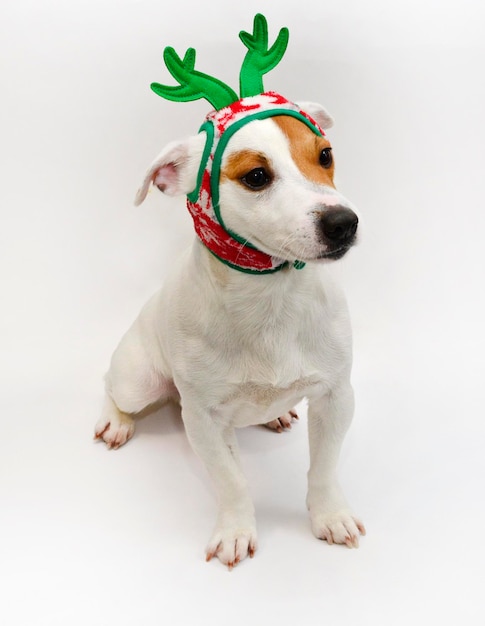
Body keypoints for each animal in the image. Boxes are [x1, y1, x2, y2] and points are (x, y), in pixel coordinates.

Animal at [94, 91, 364, 564]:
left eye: (325, 155)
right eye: (256, 176)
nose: (343, 222)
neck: (271, 298)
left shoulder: (336, 397)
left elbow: (324, 468)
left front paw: (330, 515)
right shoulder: (204, 420)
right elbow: (231, 481)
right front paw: (235, 531)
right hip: (138, 380)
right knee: (112, 385)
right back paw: (116, 421)